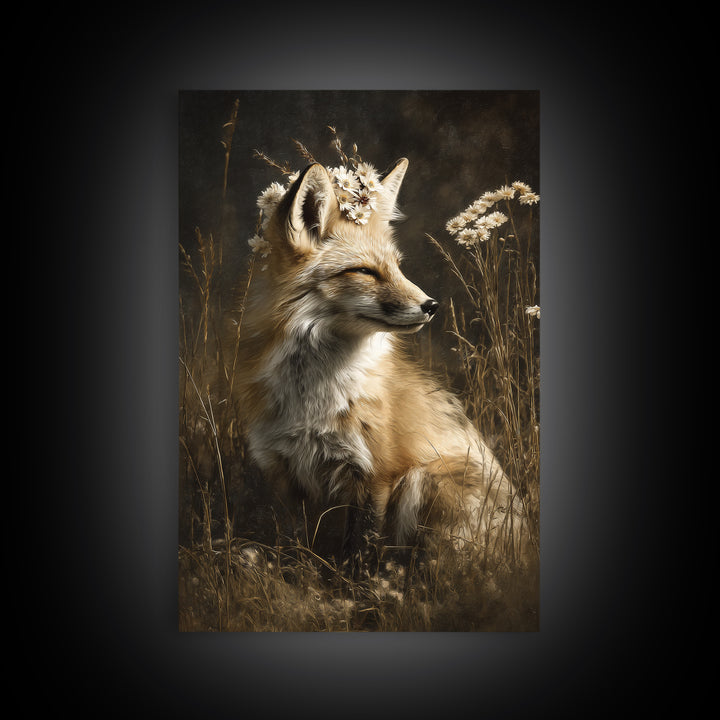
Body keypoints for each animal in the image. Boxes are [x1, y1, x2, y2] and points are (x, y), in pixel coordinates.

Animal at [228, 157, 530, 567]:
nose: (432, 306)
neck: (311, 396)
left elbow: (361, 553)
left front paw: (364, 585)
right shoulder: (284, 474)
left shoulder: (375, 473)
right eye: (364, 271)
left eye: (398, 267)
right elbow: (295, 546)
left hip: (426, 478)